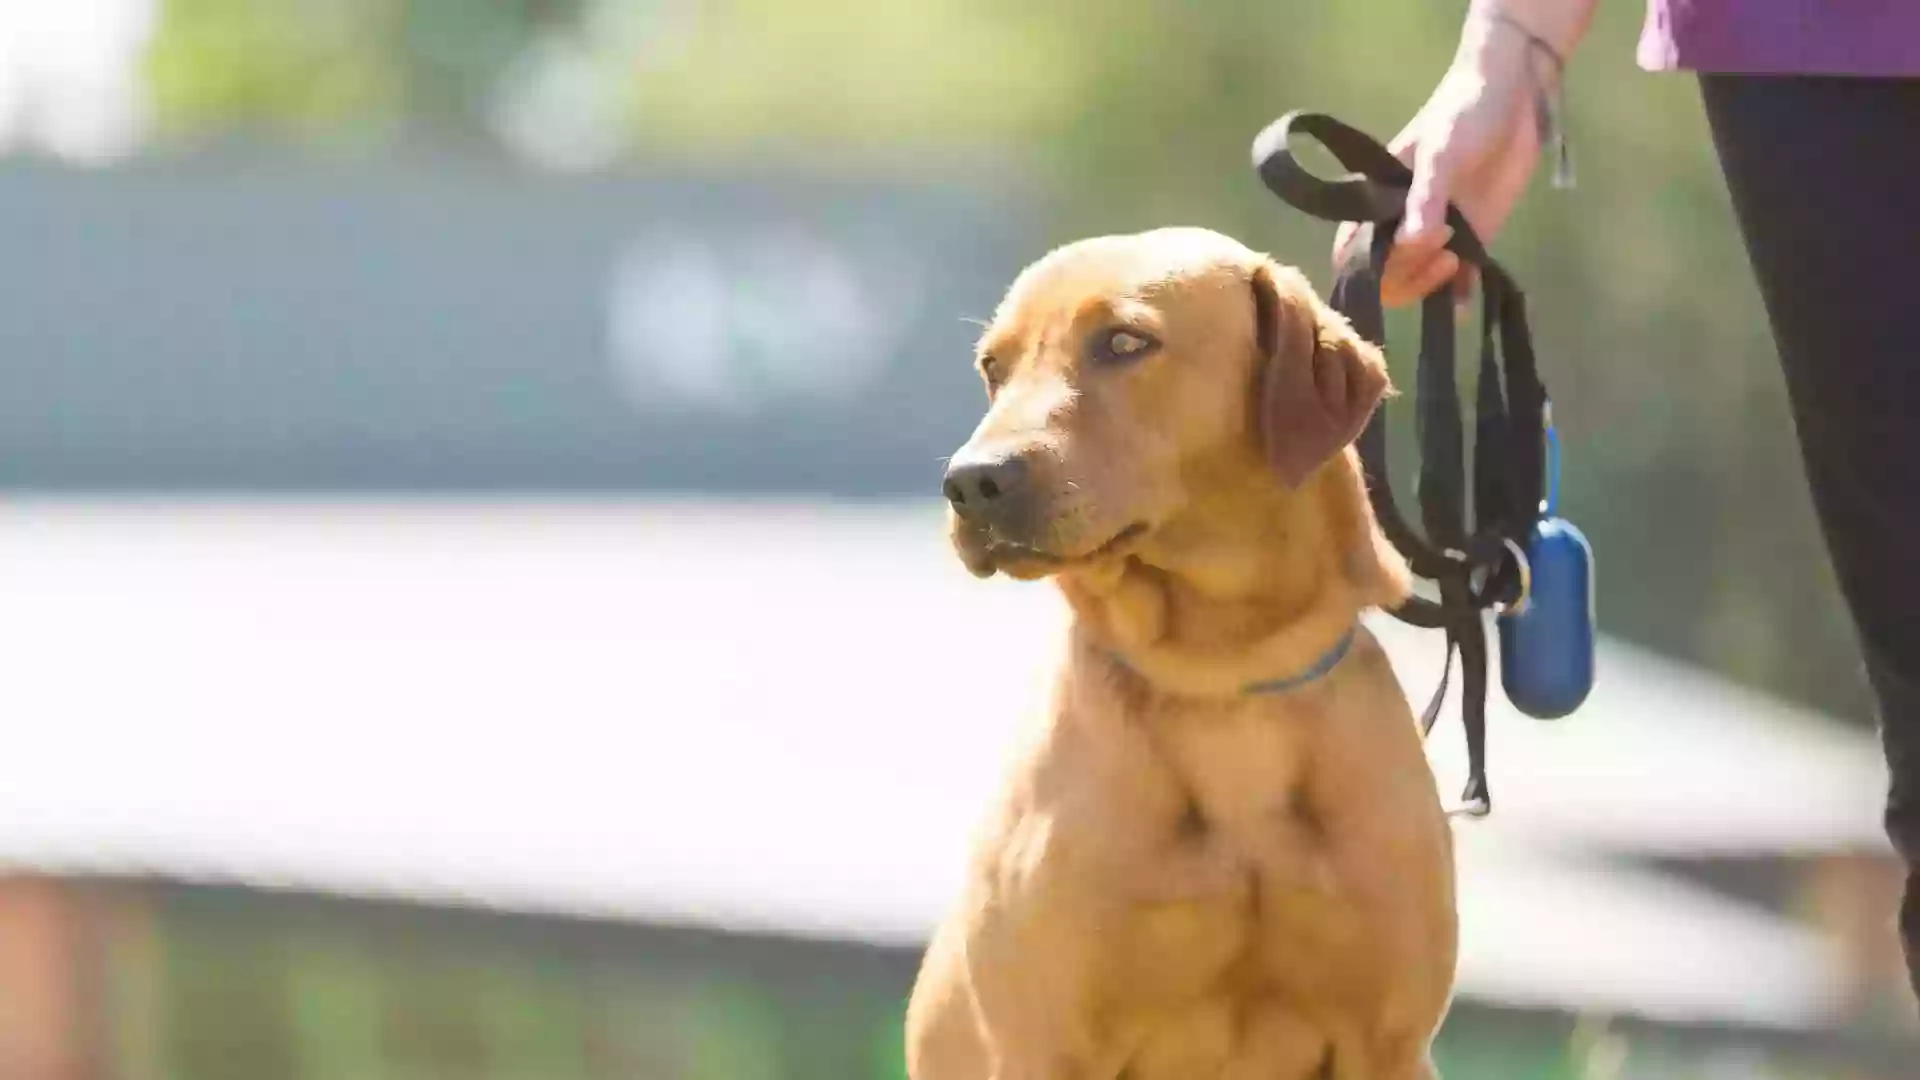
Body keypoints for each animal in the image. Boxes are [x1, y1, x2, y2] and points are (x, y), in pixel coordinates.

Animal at [910, 226, 1451, 1076]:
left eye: (1125, 342)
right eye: (993, 367)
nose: (971, 483)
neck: (1223, 675)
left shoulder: (1390, 1044)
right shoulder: (1046, 1045)